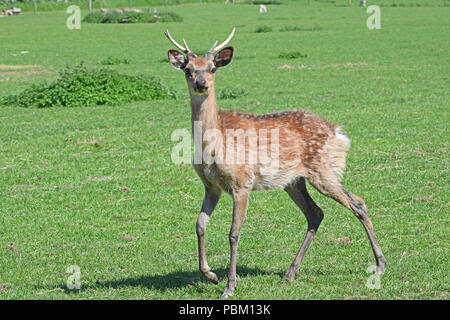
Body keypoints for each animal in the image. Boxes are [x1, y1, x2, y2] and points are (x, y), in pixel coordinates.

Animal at [165, 26, 386, 298]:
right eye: (188, 69)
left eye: (212, 68)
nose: (201, 84)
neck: (214, 145)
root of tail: (338, 133)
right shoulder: (211, 186)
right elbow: (199, 225)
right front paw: (211, 275)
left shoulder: (242, 182)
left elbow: (234, 233)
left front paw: (230, 286)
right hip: (294, 181)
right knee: (316, 213)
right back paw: (290, 273)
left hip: (322, 170)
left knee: (357, 203)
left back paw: (379, 266)